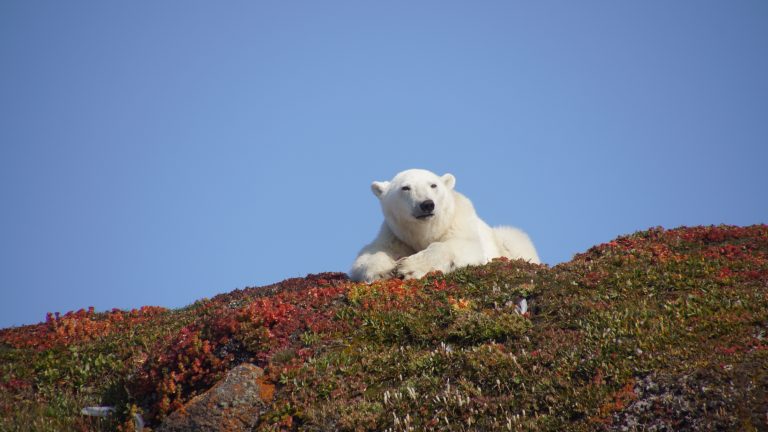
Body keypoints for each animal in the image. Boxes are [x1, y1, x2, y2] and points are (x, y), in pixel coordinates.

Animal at [348, 169, 540, 284]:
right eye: (405, 188)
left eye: (433, 185)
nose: (427, 204)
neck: (424, 233)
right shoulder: (395, 236)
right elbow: (370, 253)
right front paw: (383, 271)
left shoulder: (459, 223)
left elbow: (463, 246)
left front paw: (410, 268)